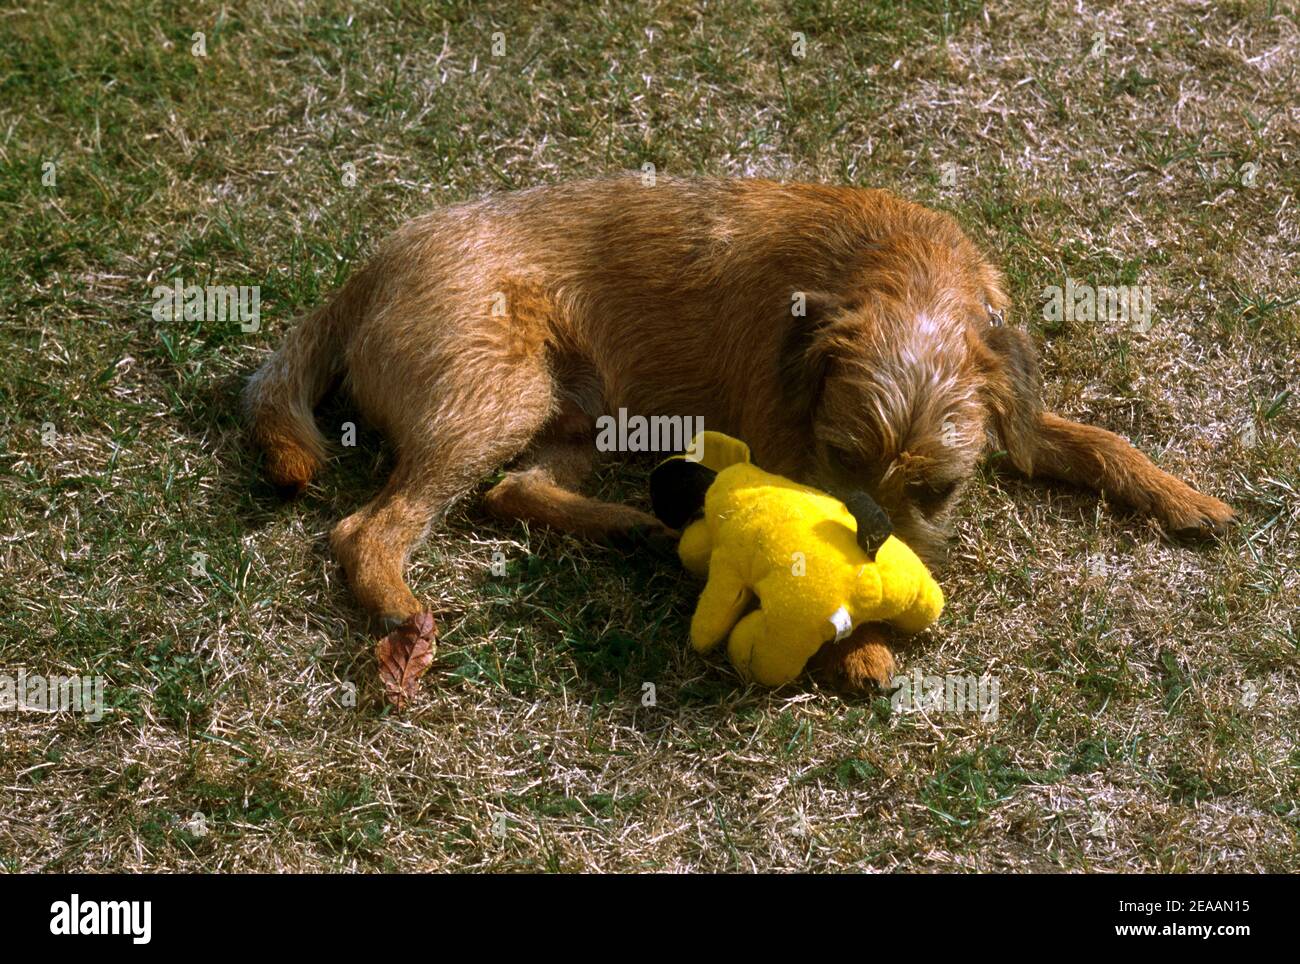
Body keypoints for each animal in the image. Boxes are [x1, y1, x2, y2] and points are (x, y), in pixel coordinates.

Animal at [245, 177, 1237, 691]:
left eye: (941, 490)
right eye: (840, 458)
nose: (879, 552)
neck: (898, 272)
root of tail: (366, 273)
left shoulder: (1014, 419)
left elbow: (1093, 439)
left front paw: (1181, 495)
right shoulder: (782, 450)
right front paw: (856, 645)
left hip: (584, 409)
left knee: (514, 489)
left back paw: (633, 530)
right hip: (494, 395)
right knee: (369, 527)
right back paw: (398, 607)